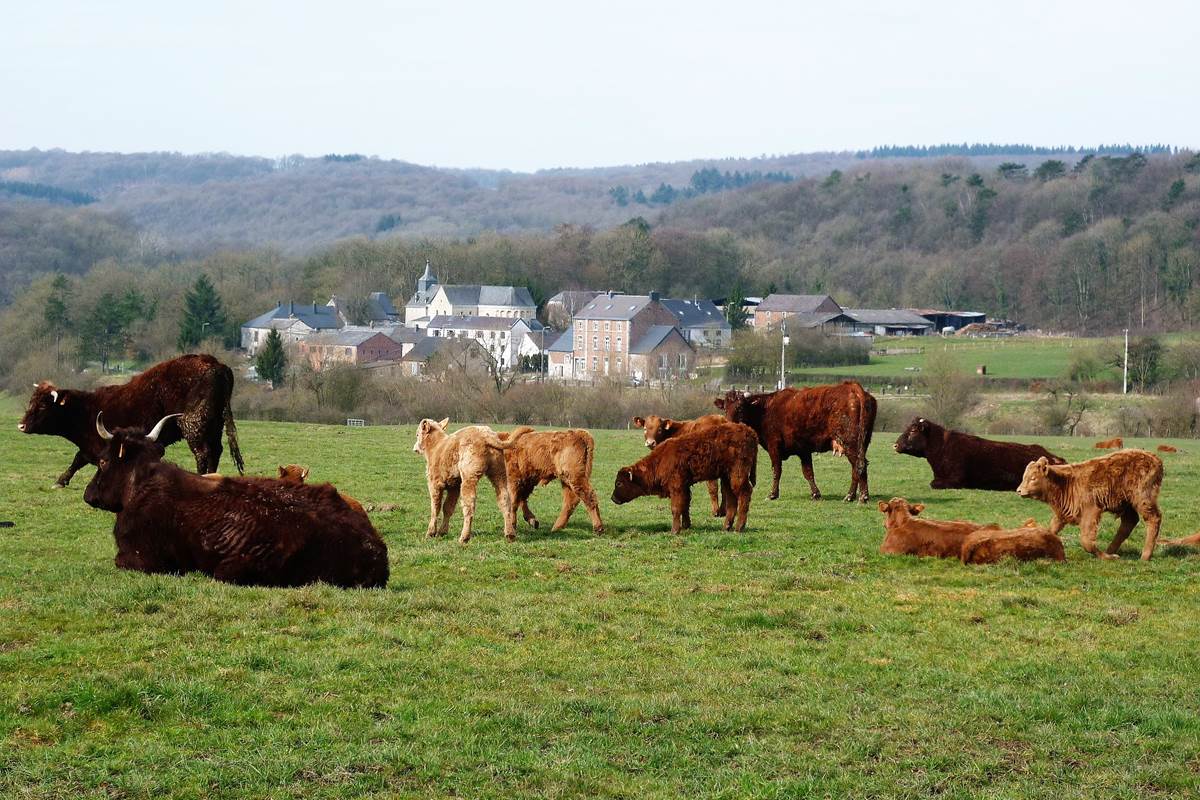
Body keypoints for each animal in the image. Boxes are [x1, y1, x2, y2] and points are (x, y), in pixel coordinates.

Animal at [18, 357, 244, 489]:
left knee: (203, 452)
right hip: (213, 426)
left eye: (43, 406)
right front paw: (61, 480)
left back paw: (203, 477)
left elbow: (81, 459)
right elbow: (78, 459)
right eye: (31, 402)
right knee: (216, 450)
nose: (21, 425)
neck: (87, 409)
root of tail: (216, 365)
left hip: (194, 424)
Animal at [84, 412, 384, 587]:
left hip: (229, 569)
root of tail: (375, 550)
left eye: (103, 460)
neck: (143, 480)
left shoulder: (139, 557)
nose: (88, 495)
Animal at [614, 422, 753, 534]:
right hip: (727, 478)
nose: (613, 498)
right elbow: (685, 506)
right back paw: (726, 527)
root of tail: (749, 431)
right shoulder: (685, 487)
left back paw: (739, 528)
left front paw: (675, 530)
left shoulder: (676, 487)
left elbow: (676, 508)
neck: (660, 459)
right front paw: (686, 525)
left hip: (738, 476)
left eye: (619, 483)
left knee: (745, 493)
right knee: (731, 498)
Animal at [715, 381, 878, 501]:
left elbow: (777, 470)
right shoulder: (803, 450)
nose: (729, 425)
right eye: (725, 408)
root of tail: (852, 387)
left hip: (850, 442)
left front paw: (773, 494)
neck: (764, 410)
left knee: (858, 465)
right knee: (859, 466)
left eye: (740, 408)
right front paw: (815, 494)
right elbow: (808, 472)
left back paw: (856, 496)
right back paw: (857, 495)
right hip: (861, 443)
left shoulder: (774, 446)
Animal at [1017, 453, 1166, 561]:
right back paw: (1110, 551)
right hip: (1127, 504)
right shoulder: (1062, 515)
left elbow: (1086, 541)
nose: (1019, 491)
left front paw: (1104, 557)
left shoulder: (1091, 511)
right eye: (1024, 476)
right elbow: (1051, 530)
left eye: (1033, 478)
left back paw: (1144, 556)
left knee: (1153, 518)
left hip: (1142, 500)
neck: (1065, 482)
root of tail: (1155, 458)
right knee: (1129, 522)